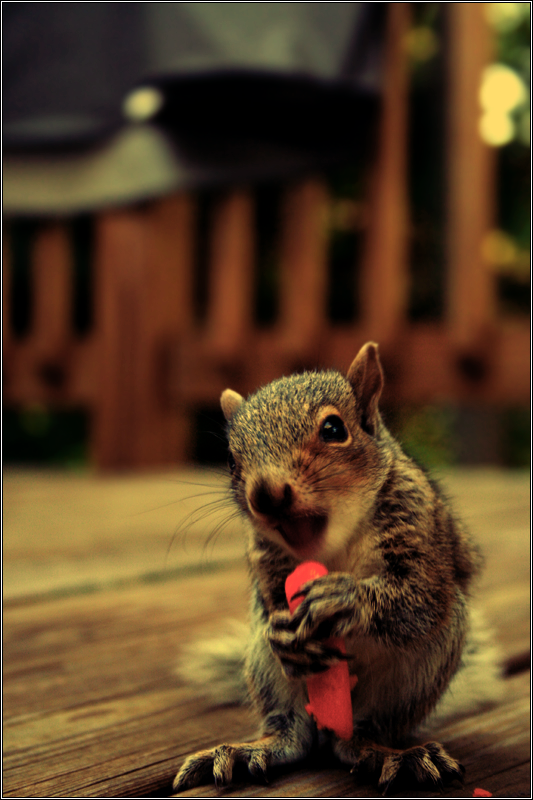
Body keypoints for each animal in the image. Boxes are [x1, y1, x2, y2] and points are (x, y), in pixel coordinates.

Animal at [175, 340, 498, 792]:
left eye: (333, 429)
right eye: (231, 459)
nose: (266, 493)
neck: (332, 547)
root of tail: (330, 725)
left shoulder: (418, 524)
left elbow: (420, 595)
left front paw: (347, 600)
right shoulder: (268, 561)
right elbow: (273, 600)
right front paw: (285, 635)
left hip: (419, 670)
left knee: (359, 736)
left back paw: (392, 755)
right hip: (265, 667)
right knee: (294, 734)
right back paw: (254, 750)